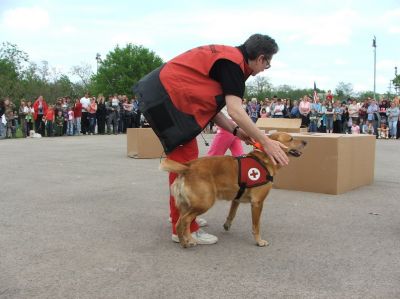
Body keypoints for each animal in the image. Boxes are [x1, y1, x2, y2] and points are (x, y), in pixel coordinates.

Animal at [159, 132, 306, 248]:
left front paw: (227, 225)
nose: (305, 141)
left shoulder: (236, 199)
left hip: (187, 206)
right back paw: (184, 243)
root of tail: (188, 166)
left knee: (185, 222)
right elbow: (256, 226)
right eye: (291, 138)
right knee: (183, 222)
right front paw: (259, 241)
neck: (264, 159)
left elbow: (232, 214)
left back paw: (189, 239)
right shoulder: (257, 203)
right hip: (204, 203)